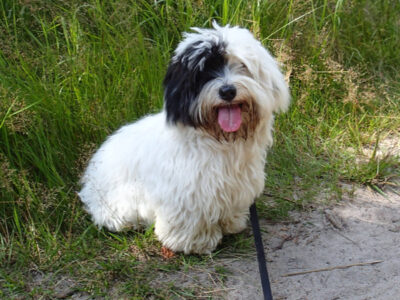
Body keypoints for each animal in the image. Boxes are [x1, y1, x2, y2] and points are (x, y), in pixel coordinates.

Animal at [79, 22, 290, 254]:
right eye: (204, 72)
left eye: (241, 65)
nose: (227, 91)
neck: (219, 140)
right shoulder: (187, 193)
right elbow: (190, 220)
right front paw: (194, 242)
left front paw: (231, 224)